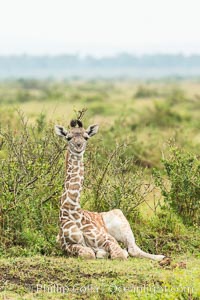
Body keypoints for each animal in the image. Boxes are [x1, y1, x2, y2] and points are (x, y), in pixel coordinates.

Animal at [55, 119, 166, 260]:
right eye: (68, 137)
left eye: (86, 137)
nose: (79, 146)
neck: (71, 209)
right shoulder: (66, 245)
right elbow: (88, 253)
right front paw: (100, 253)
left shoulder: (108, 239)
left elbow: (119, 254)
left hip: (120, 217)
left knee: (133, 249)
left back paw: (161, 257)